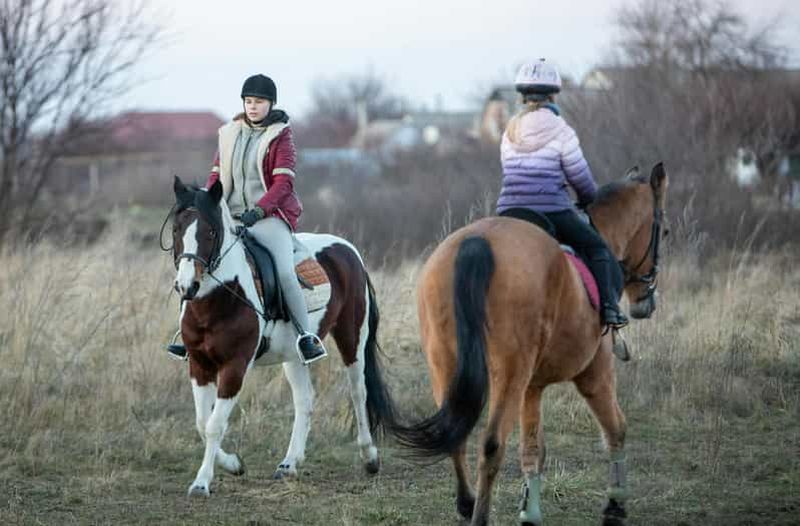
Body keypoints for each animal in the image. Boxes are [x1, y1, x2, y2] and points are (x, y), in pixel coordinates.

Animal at [169, 176, 396, 497]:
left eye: (211, 231)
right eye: (177, 229)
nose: (187, 286)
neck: (219, 298)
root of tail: (348, 249)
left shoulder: (235, 367)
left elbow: (214, 424)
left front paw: (202, 483)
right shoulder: (199, 365)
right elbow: (203, 423)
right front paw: (234, 464)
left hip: (352, 338)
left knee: (358, 391)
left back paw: (370, 457)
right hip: (294, 356)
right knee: (305, 400)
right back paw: (289, 464)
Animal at [391, 163, 668, 525]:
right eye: (664, 232)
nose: (645, 302)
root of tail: (476, 242)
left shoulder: (531, 386)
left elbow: (533, 449)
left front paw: (529, 511)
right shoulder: (595, 373)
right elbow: (615, 429)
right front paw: (615, 507)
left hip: (446, 365)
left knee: (456, 435)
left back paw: (466, 505)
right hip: (510, 373)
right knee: (492, 445)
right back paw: (479, 515)